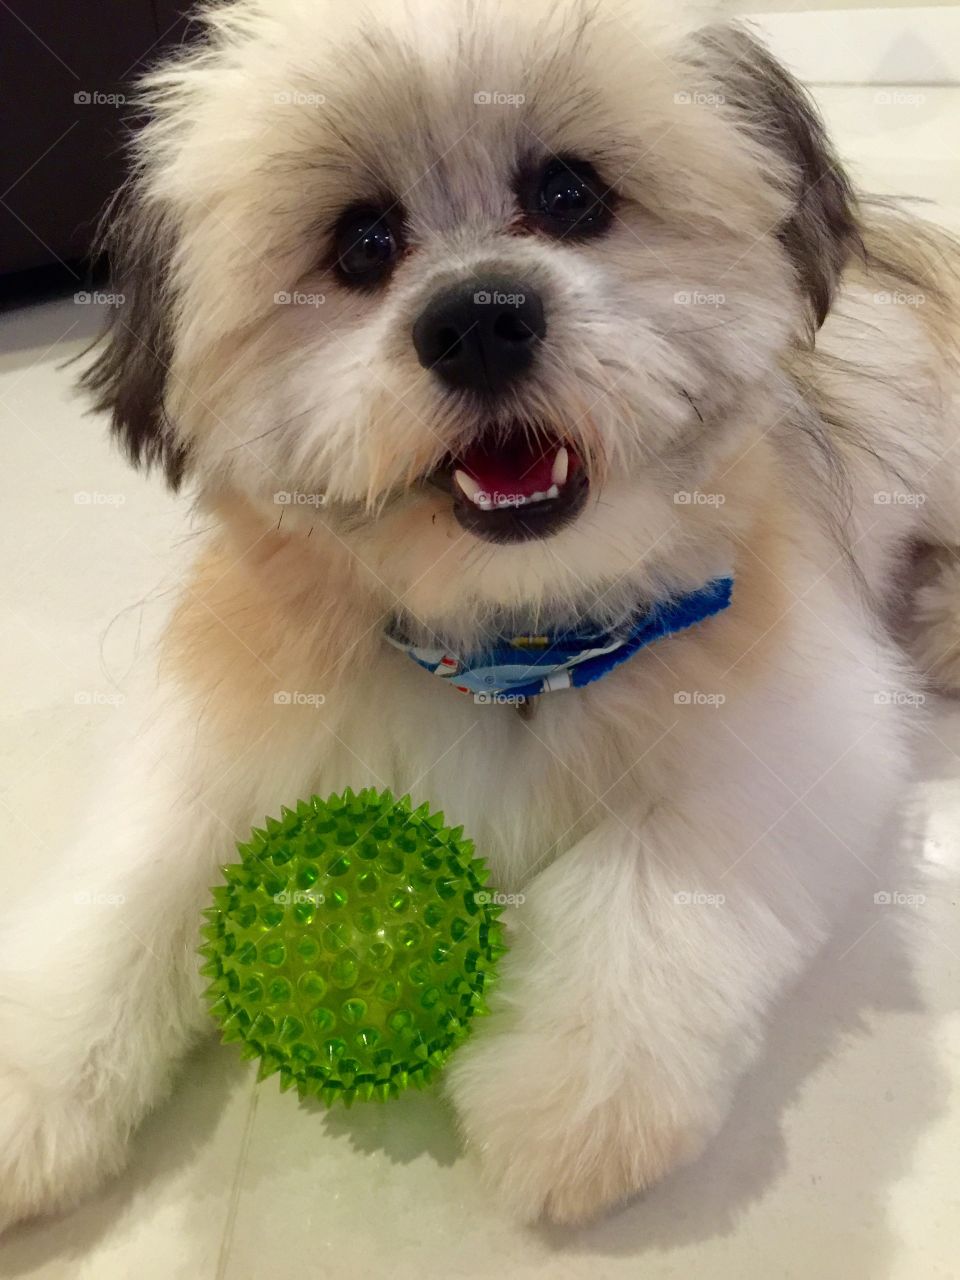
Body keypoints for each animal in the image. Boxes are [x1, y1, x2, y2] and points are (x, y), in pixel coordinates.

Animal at [1, 0, 960, 1228]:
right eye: (362, 243)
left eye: (570, 194)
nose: (480, 319)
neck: (517, 638)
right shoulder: (222, 723)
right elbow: (136, 877)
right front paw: (36, 1079)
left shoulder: (780, 728)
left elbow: (653, 872)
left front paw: (577, 1085)